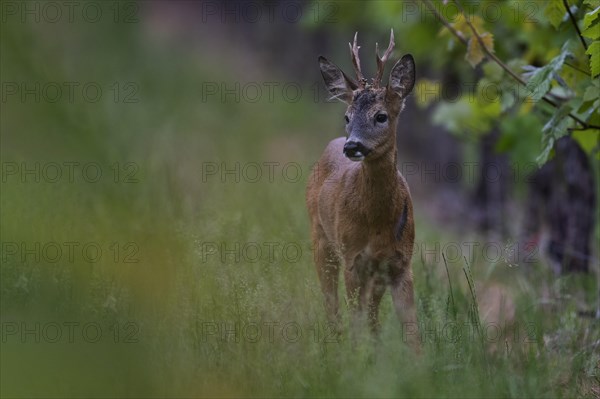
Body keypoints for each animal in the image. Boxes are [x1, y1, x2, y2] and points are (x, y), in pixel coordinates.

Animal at [304, 29, 418, 346]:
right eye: (347, 116)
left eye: (381, 116)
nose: (352, 146)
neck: (377, 223)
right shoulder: (353, 258)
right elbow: (354, 319)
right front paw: (357, 353)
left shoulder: (401, 263)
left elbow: (412, 331)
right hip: (321, 237)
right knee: (331, 302)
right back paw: (336, 342)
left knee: (371, 313)